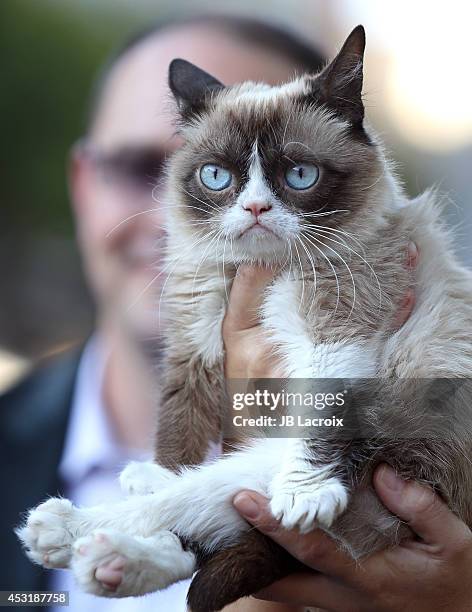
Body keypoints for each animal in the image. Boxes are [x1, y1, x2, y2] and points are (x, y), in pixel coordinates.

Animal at [16, 25, 472, 612]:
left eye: (299, 175)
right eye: (216, 176)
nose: (255, 209)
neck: (256, 271)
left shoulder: (337, 331)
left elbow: (320, 409)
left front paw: (305, 496)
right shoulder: (195, 334)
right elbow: (180, 415)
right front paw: (161, 468)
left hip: (332, 451)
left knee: (194, 507)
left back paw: (74, 534)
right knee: (190, 523)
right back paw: (115, 531)